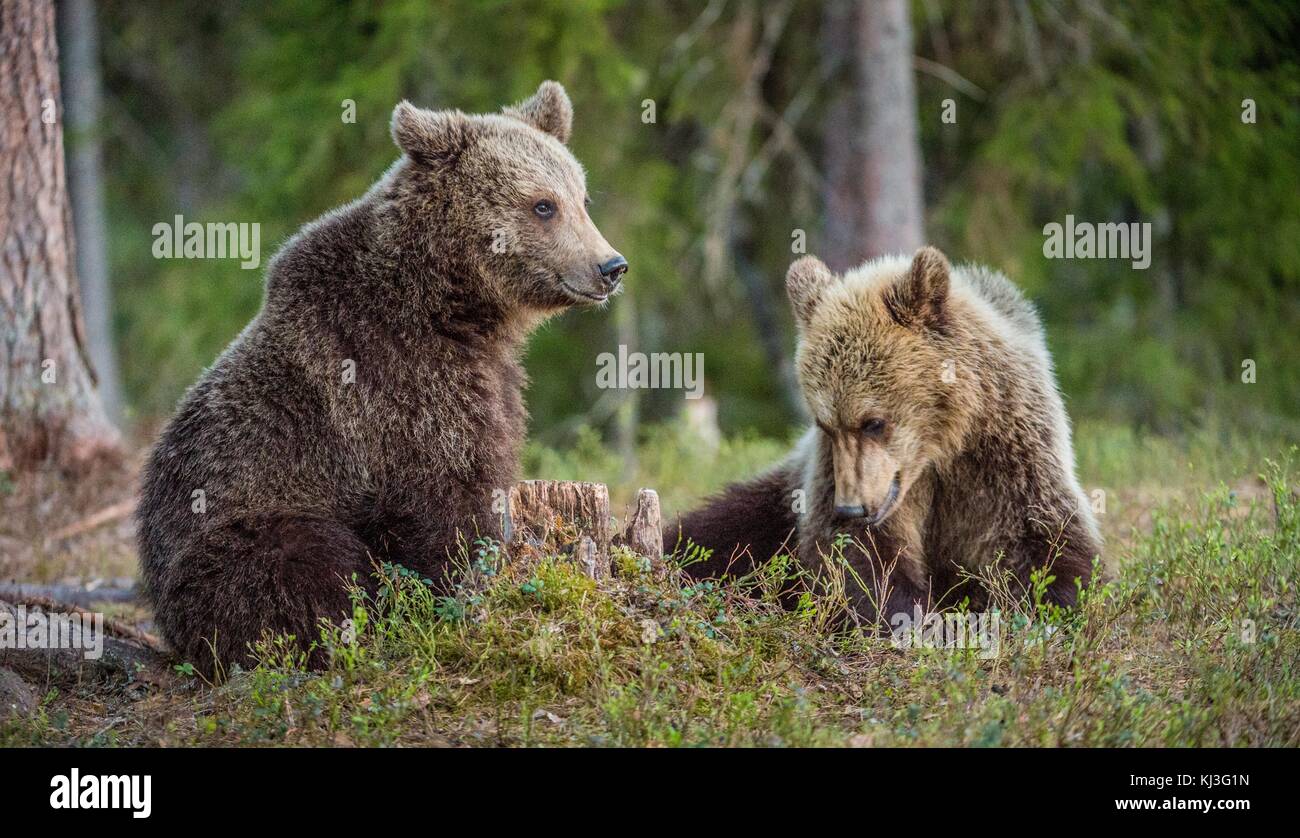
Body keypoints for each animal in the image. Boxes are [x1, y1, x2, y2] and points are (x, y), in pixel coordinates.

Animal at [137, 81, 628, 672]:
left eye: (582, 199)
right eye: (543, 205)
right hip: (234, 535)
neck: (453, 307)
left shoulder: (489, 375)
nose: (611, 266)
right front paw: (466, 590)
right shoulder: (393, 377)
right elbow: (448, 493)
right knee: (303, 562)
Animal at [668, 246, 1101, 622]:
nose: (852, 507)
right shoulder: (840, 476)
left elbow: (1042, 536)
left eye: (873, 421)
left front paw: (1048, 602)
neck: (938, 449)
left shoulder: (1003, 449)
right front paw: (912, 615)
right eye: (825, 423)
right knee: (716, 531)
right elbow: (858, 556)